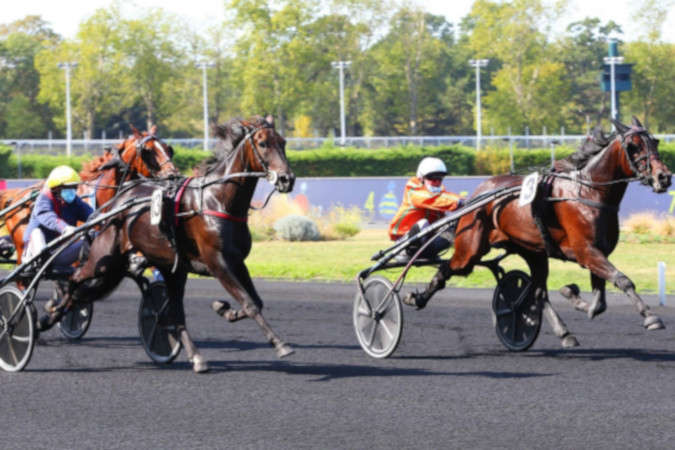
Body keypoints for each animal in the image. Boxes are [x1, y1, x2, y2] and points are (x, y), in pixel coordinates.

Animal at [0, 125, 178, 267]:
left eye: (168, 148)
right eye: (148, 151)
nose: (173, 175)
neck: (103, 196)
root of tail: (13, 197)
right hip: (23, 244)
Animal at [41, 116, 295, 373]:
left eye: (283, 142)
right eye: (262, 143)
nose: (287, 179)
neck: (217, 199)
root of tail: (116, 203)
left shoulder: (236, 262)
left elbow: (255, 302)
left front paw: (224, 309)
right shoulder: (218, 262)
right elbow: (249, 303)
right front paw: (280, 344)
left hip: (162, 268)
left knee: (172, 313)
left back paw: (196, 357)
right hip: (103, 259)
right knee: (74, 281)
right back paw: (49, 314)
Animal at [403, 116, 672, 348]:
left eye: (655, 141)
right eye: (633, 145)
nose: (664, 177)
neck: (588, 192)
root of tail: (476, 196)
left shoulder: (597, 252)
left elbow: (600, 303)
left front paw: (572, 294)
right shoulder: (587, 251)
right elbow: (622, 280)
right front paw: (651, 317)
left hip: (534, 251)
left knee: (539, 291)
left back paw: (562, 332)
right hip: (470, 248)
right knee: (446, 269)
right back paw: (416, 298)